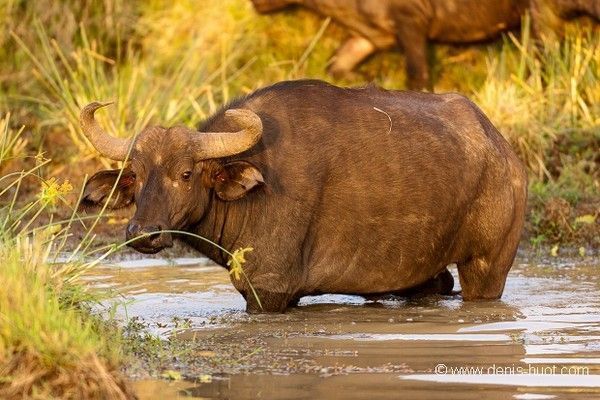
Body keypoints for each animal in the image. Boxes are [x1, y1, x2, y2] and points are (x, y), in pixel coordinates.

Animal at [81, 80, 524, 312]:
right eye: (135, 177)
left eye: (185, 174)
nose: (143, 233)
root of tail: (502, 151)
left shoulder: (269, 291)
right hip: (421, 275)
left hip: (488, 267)